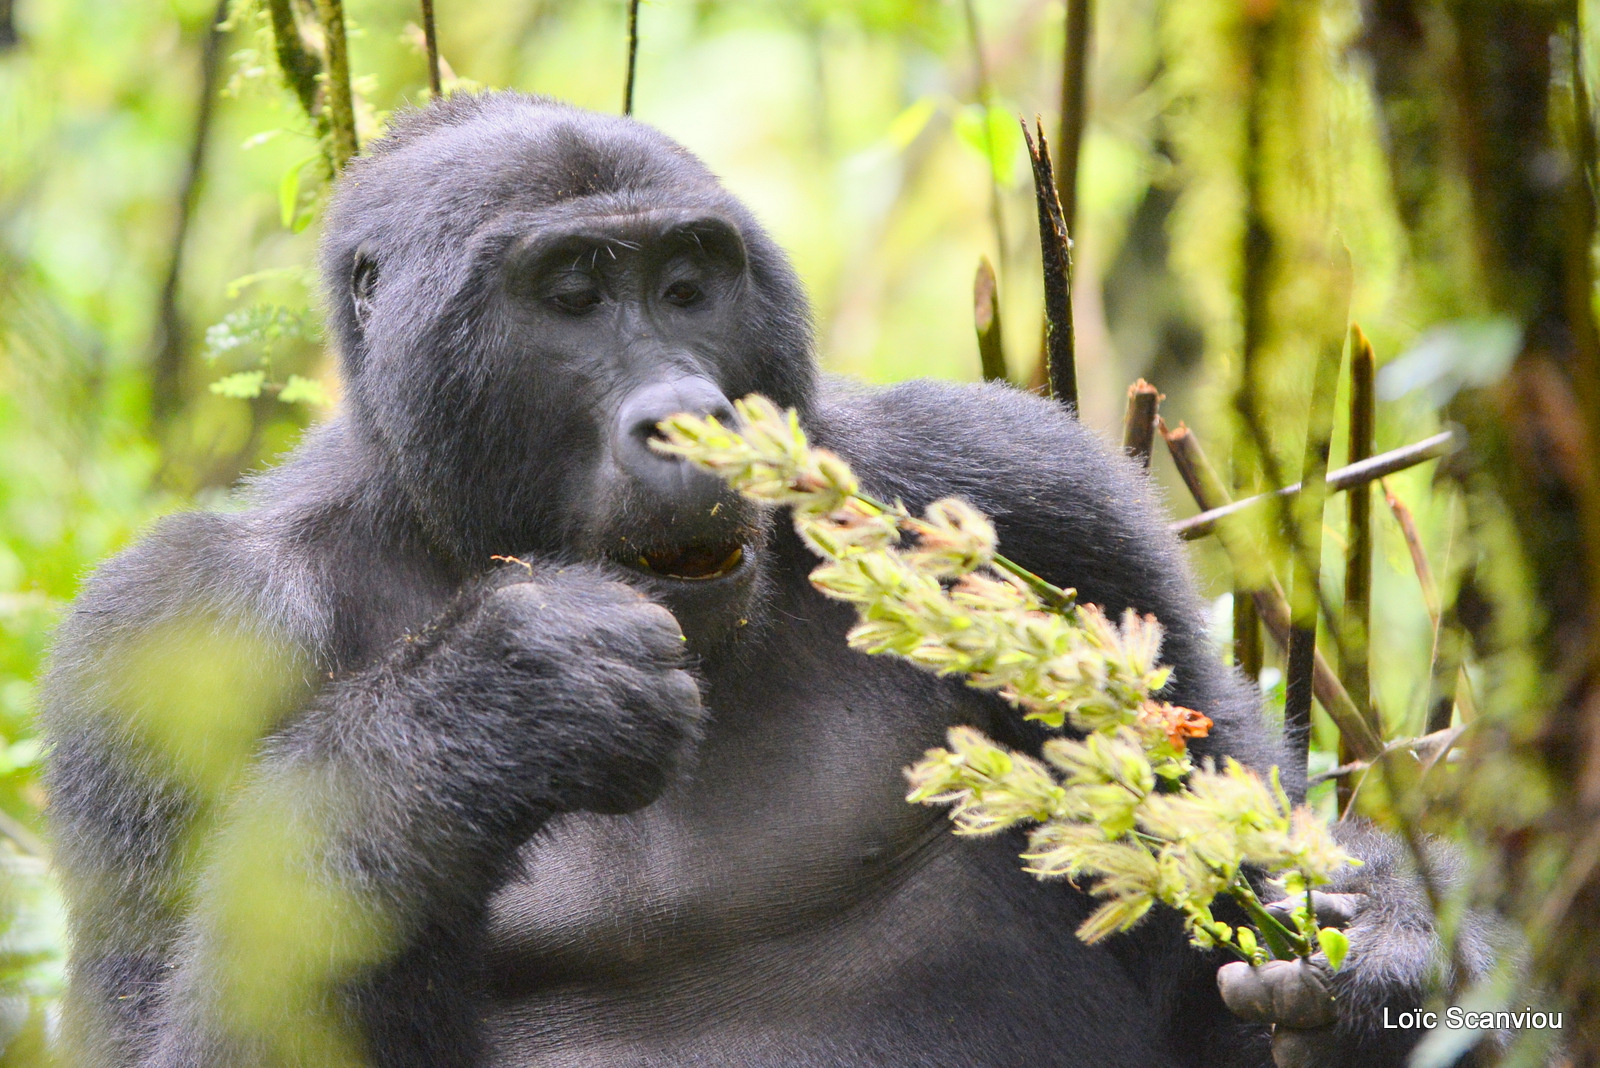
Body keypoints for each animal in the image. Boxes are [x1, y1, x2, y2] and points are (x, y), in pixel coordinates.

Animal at [43, 93, 1465, 1068]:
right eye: (569, 296)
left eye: (687, 285)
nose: (685, 414)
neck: (446, 521)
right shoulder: (172, 632)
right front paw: (490, 705)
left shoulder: (1031, 495)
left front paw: (1385, 948)